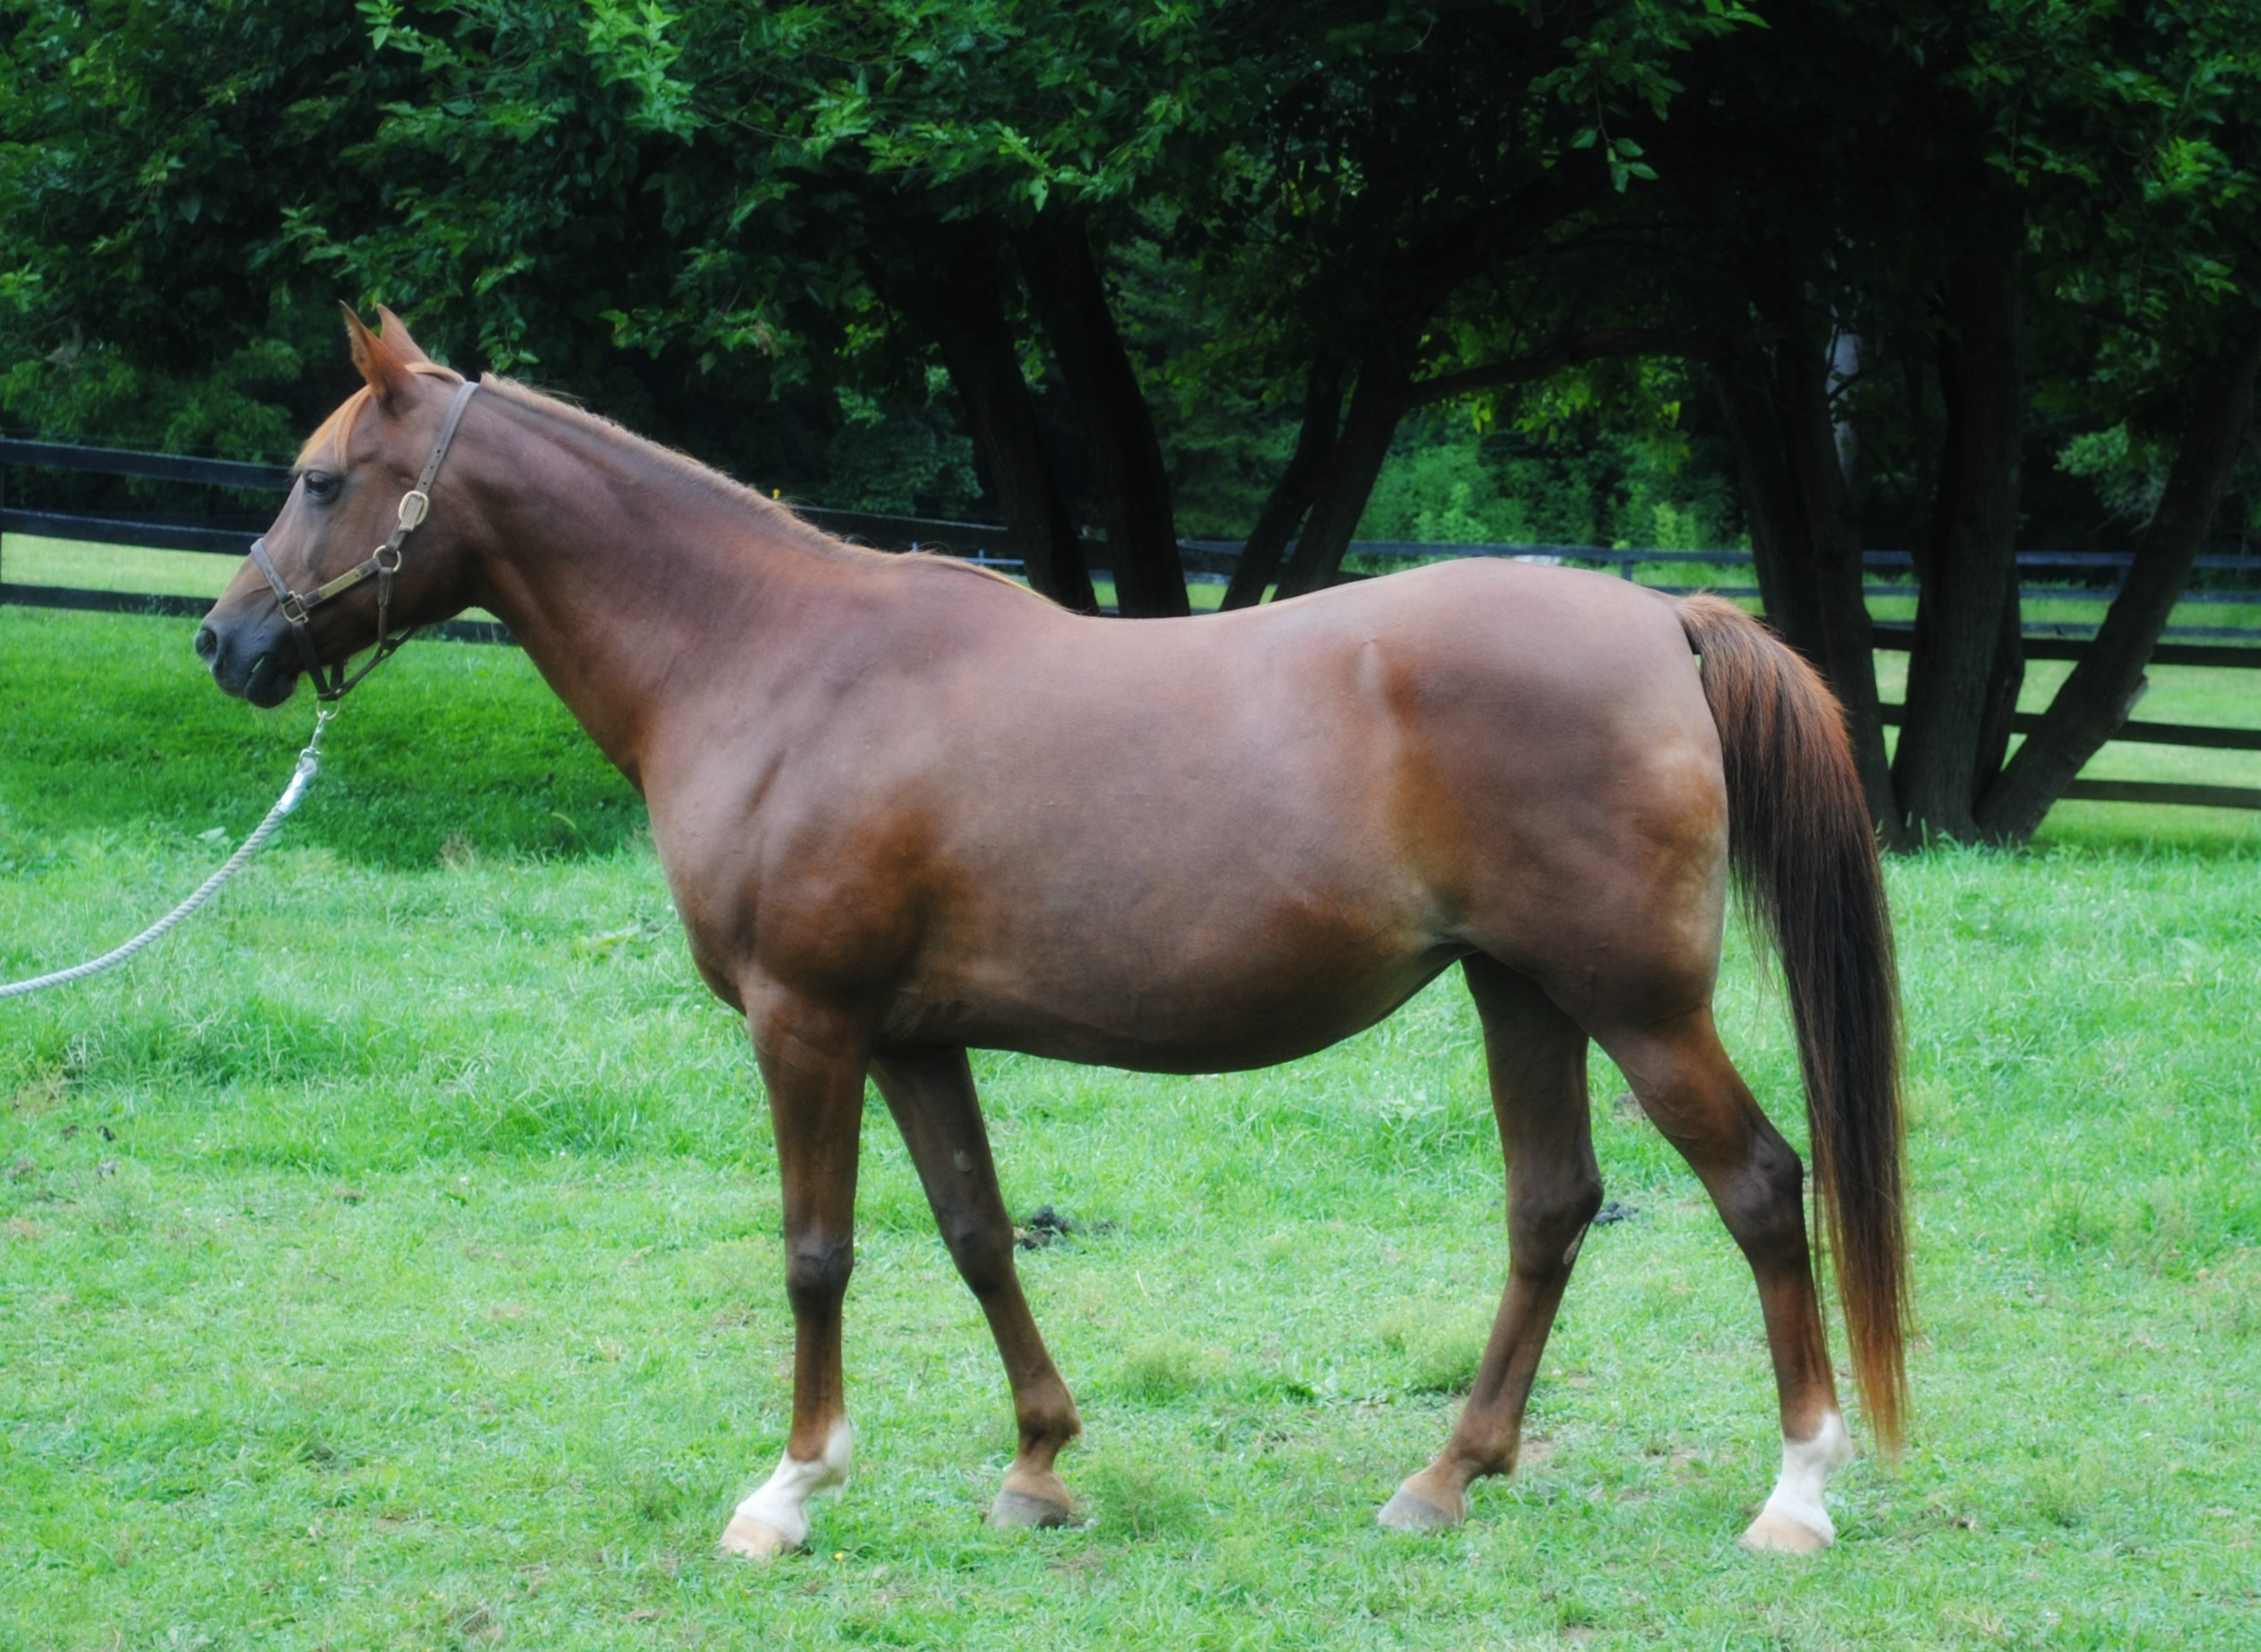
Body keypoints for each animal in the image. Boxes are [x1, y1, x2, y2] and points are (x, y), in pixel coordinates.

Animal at [196, 308, 1907, 1560]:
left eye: (320, 479)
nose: (229, 638)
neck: (769, 658)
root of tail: (1663, 619)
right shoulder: (910, 1035)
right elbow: (973, 1232)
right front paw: (1039, 1464)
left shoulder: (805, 1019)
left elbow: (817, 1251)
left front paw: (787, 1490)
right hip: (1522, 992)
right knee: (1551, 1207)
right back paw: (1443, 1476)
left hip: (1635, 1001)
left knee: (1761, 1188)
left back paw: (1794, 1491)